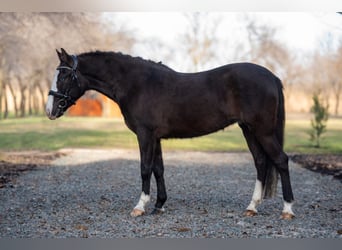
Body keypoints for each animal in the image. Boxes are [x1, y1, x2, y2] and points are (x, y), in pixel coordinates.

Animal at [46, 48, 294, 219]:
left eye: (64, 76)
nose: (49, 110)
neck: (137, 84)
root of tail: (272, 77)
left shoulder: (145, 135)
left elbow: (145, 168)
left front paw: (140, 207)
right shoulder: (155, 137)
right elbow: (158, 169)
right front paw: (159, 205)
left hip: (263, 131)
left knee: (280, 160)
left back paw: (288, 209)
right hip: (249, 130)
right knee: (261, 162)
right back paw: (252, 207)